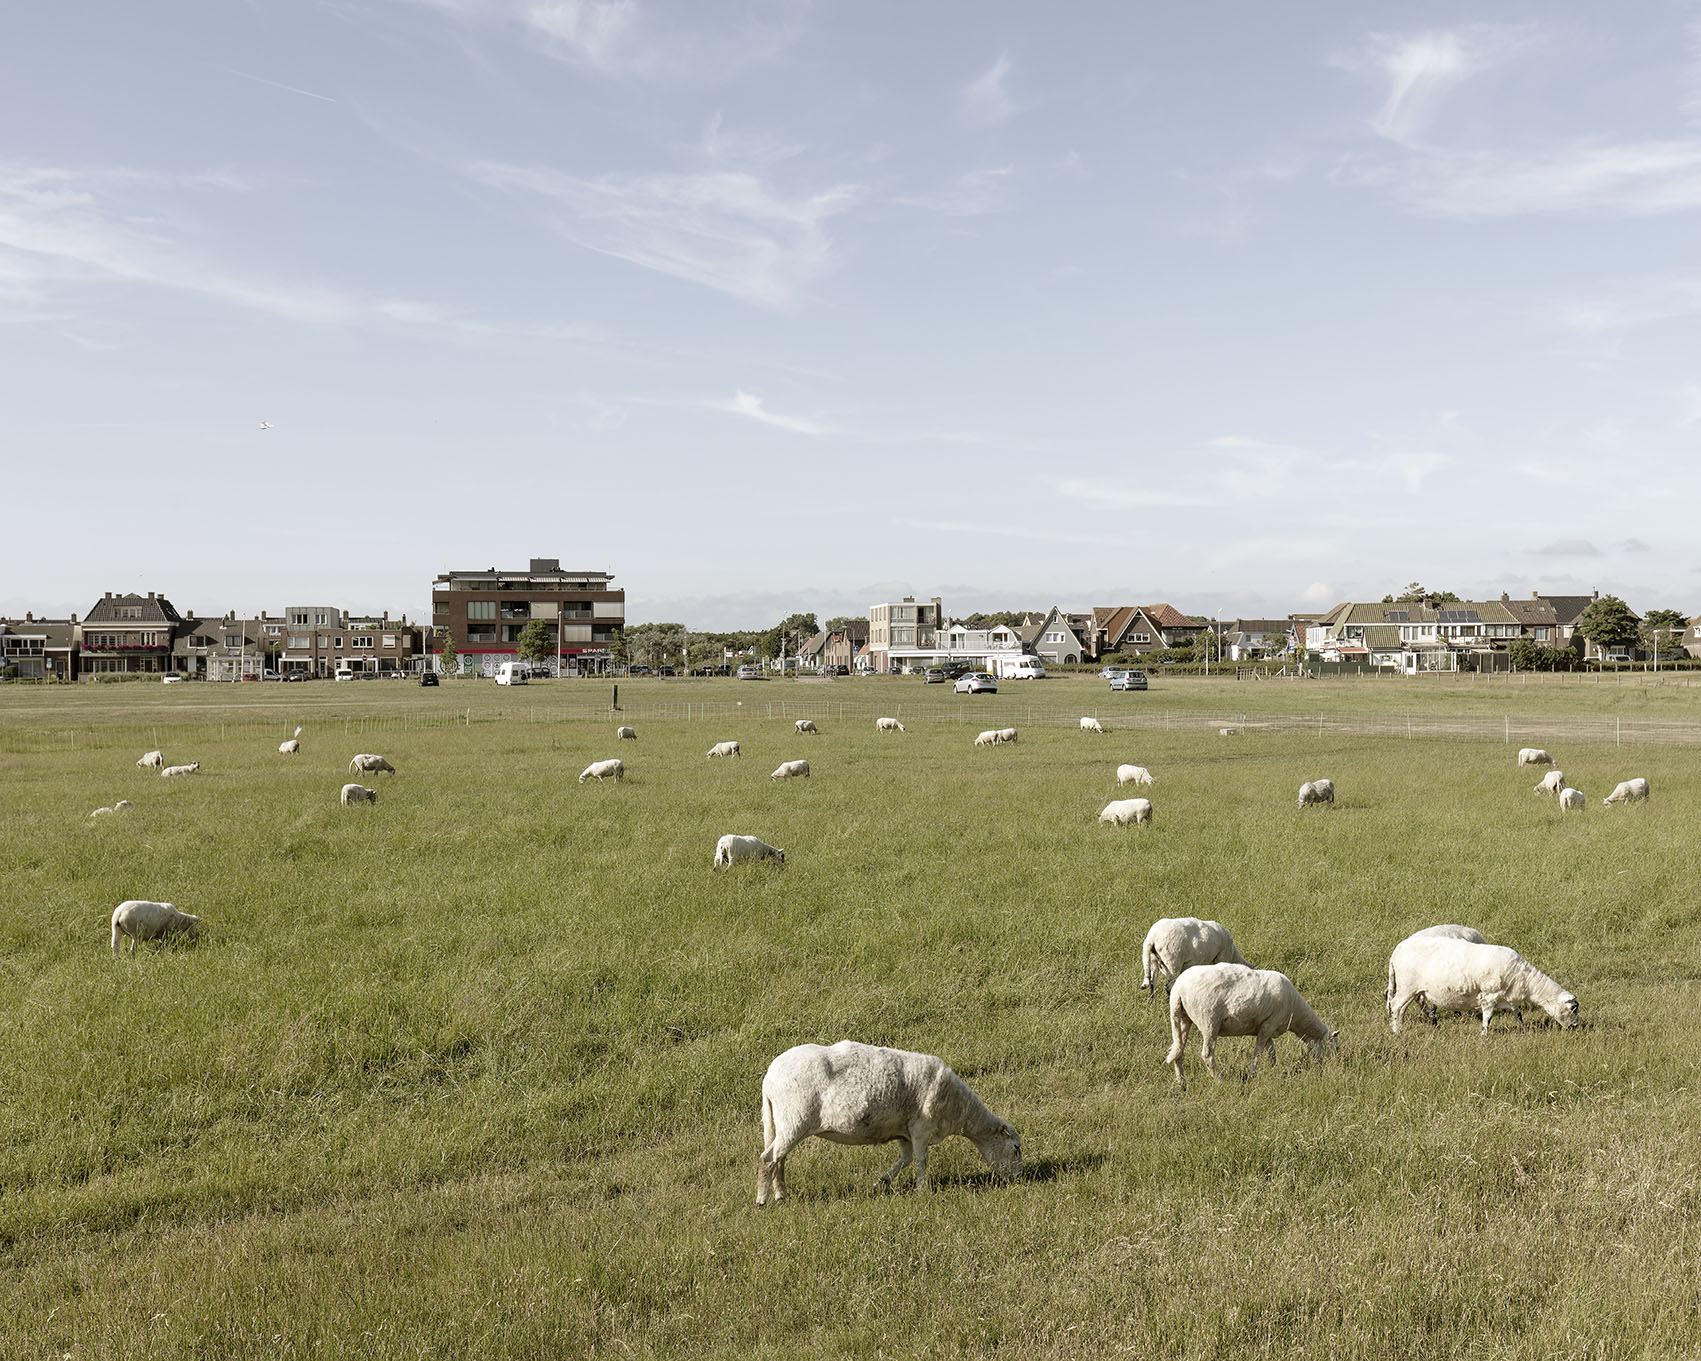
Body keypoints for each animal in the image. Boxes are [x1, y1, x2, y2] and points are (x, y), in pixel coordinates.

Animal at [762, 1041, 1020, 1204]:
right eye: (1016, 1148)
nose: (1017, 1180)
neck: (959, 1110)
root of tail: (769, 1077)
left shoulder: (904, 1133)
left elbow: (906, 1159)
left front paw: (881, 1181)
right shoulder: (921, 1127)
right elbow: (921, 1160)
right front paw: (923, 1191)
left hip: (784, 1123)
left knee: (779, 1159)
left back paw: (781, 1195)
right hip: (796, 1119)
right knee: (768, 1159)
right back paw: (762, 1199)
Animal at [1163, 959, 1333, 1088]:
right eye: (1334, 1047)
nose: (1334, 1068)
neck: (1296, 1013)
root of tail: (1178, 989)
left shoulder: (1265, 1027)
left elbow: (1271, 1051)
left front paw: (1273, 1069)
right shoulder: (1269, 1024)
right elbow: (1258, 1051)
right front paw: (1252, 1074)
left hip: (1182, 1018)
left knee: (1178, 1050)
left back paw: (1182, 1083)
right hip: (1208, 1020)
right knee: (1207, 1055)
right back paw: (1221, 1081)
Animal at [1381, 939, 1578, 1034]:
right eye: (1573, 1009)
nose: (1576, 1027)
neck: (1526, 981)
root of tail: (1396, 952)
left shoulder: (1510, 998)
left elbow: (1519, 1015)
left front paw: (1524, 1030)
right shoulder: (1489, 996)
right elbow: (1487, 1018)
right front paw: (1484, 1035)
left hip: (1412, 989)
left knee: (1401, 1009)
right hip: (1407, 986)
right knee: (1396, 1007)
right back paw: (1397, 1031)